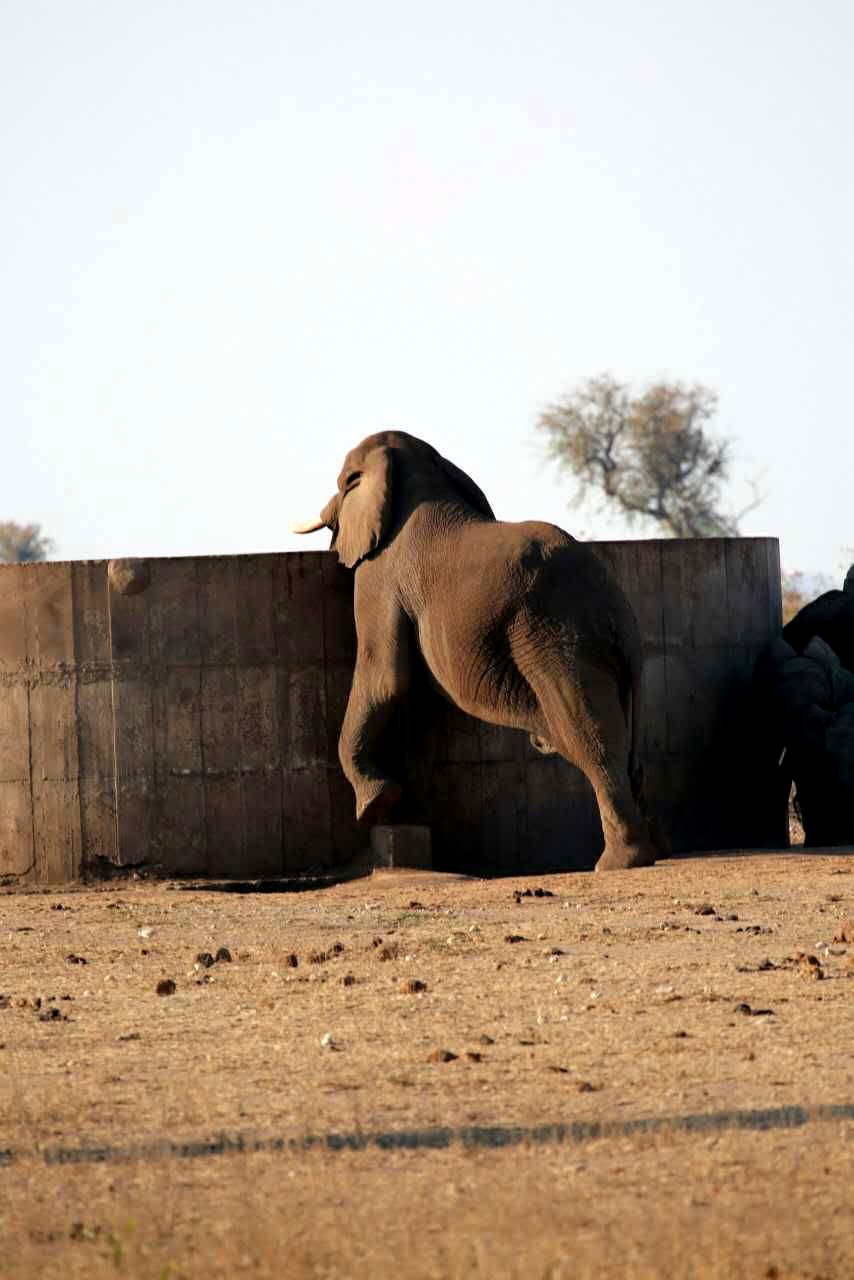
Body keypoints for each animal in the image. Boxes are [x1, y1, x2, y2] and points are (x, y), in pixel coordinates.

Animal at [290, 430, 660, 870]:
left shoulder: (378, 575)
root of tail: (613, 604)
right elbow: (415, 702)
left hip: (554, 639)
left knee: (589, 735)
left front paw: (375, 803)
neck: (419, 474)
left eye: (347, 482)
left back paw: (617, 862)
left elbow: (384, 677)